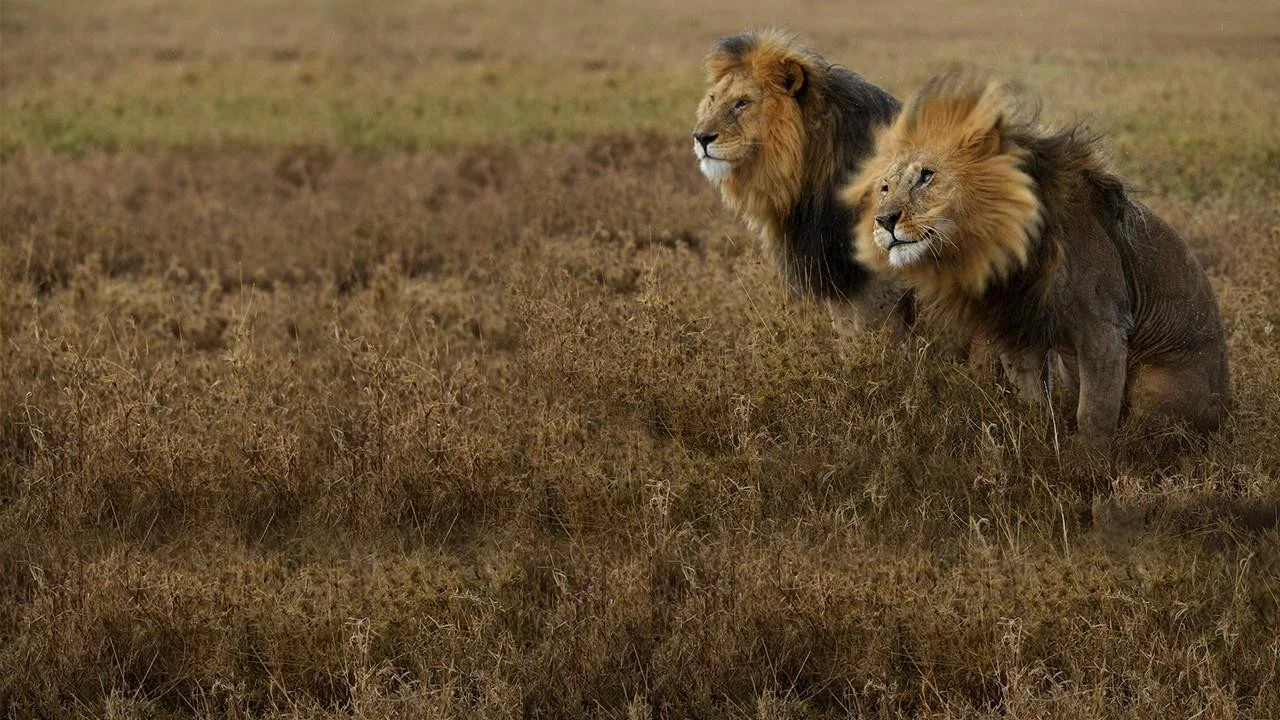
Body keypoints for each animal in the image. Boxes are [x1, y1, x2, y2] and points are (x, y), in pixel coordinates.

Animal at [842, 70, 1231, 449]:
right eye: (885, 188)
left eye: (926, 176)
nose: (884, 220)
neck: (1004, 247)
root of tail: (1228, 409)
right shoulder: (1019, 326)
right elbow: (1031, 399)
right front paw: (1039, 438)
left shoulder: (1104, 327)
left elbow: (1094, 412)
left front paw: (1086, 462)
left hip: (1155, 383)